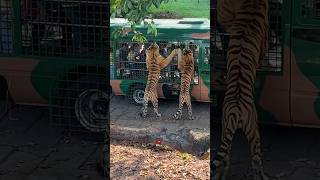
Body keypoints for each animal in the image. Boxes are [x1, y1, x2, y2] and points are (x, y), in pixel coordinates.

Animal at [212, 0, 270, 180]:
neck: (251, 4)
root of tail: (235, 111)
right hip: (254, 131)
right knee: (256, 161)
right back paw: (262, 175)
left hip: (225, 129)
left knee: (225, 159)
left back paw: (220, 175)